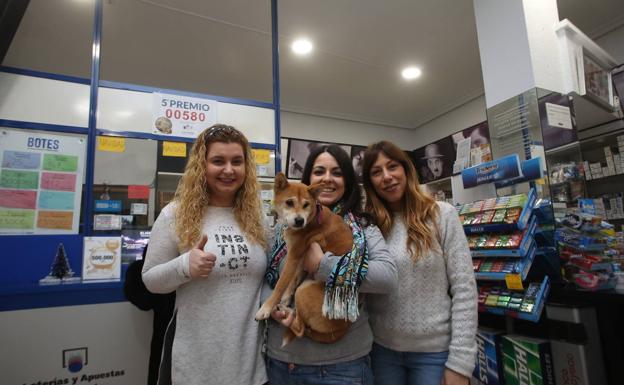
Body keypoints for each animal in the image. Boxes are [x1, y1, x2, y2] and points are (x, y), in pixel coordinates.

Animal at [254, 172, 352, 344]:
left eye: (306, 204)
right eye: (289, 202)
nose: (299, 221)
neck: (313, 218)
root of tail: (343, 327)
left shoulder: (294, 256)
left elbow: (280, 284)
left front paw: (266, 308)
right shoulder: (300, 258)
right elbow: (293, 280)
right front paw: (286, 298)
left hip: (304, 289)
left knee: (300, 329)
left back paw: (287, 313)